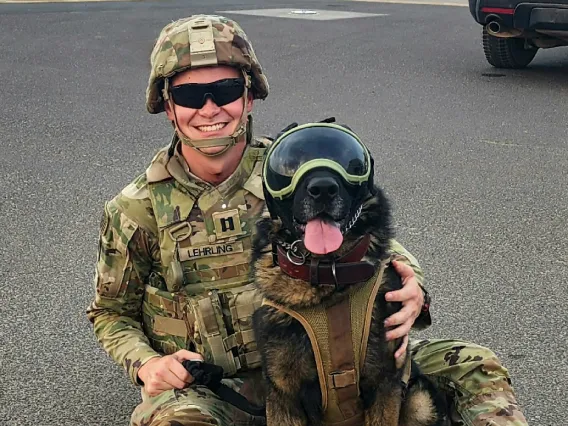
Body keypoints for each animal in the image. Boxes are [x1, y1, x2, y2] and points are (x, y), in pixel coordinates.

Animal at [251, 126, 446, 426]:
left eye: (349, 160)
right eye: (290, 162)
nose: (323, 189)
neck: (329, 276)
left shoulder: (384, 385)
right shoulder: (284, 396)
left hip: (420, 403)